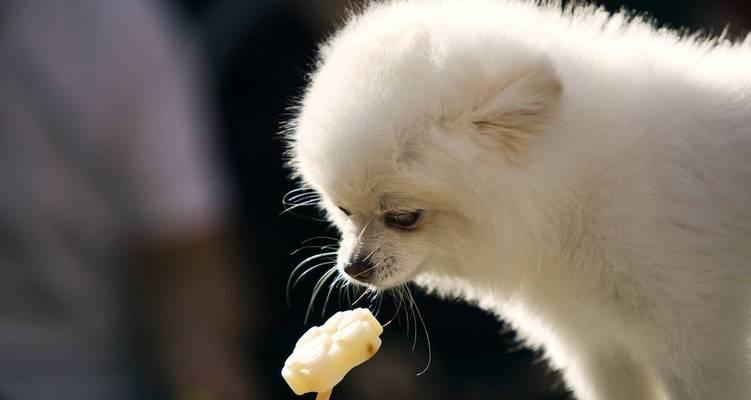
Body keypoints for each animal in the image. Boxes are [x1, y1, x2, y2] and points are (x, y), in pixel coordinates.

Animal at [286, 1, 751, 398]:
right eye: (344, 211)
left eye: (405, 217)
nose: (354, 266)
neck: (578, 194)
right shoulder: (599, 345)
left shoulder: (693, 338)